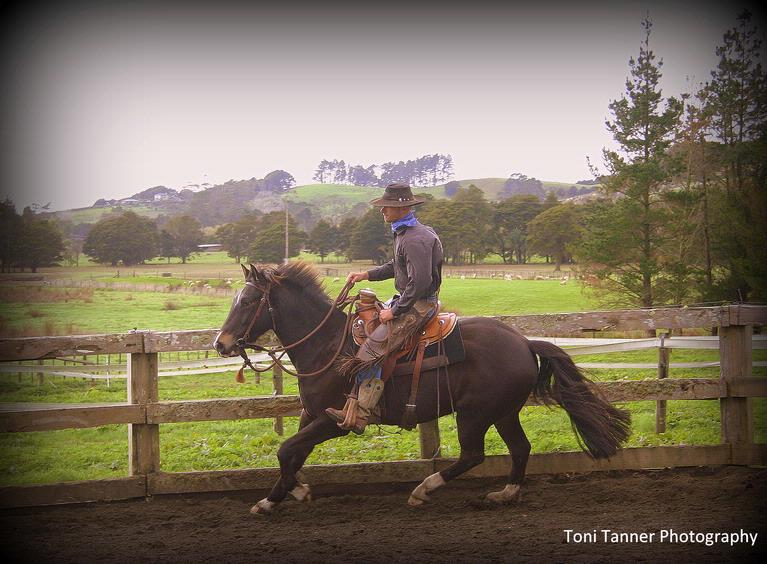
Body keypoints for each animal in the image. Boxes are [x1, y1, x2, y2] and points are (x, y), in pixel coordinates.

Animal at [214, 262, 632, 512]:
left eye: (248, 300)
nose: (221, 343)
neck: (328, 345)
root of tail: (525, 342)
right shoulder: (311, 415)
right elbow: (293, 453)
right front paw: (290, 491)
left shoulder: (335, 421)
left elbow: (287, 450)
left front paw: (273, 499)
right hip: (503, 412)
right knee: (520, 448)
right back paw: (506, 493)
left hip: (475, 414)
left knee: (473, 456)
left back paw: (424, 489)